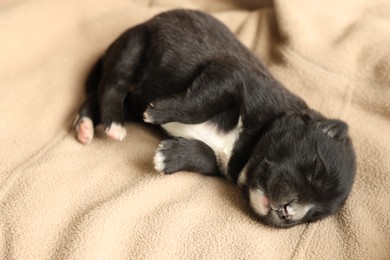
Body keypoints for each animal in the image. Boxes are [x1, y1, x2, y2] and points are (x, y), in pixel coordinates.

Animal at [74, 9, 356, 228]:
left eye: (313, 216)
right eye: (315, 170)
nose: (288, 213)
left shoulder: (224, 162)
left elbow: (207, 157)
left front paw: (170, 156)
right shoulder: (231, 76)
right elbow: (201, 102)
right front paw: (158, 111)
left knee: (96, 94)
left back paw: (86, 127)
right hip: (134, 45)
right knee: (113, 84)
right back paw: (113, 123)